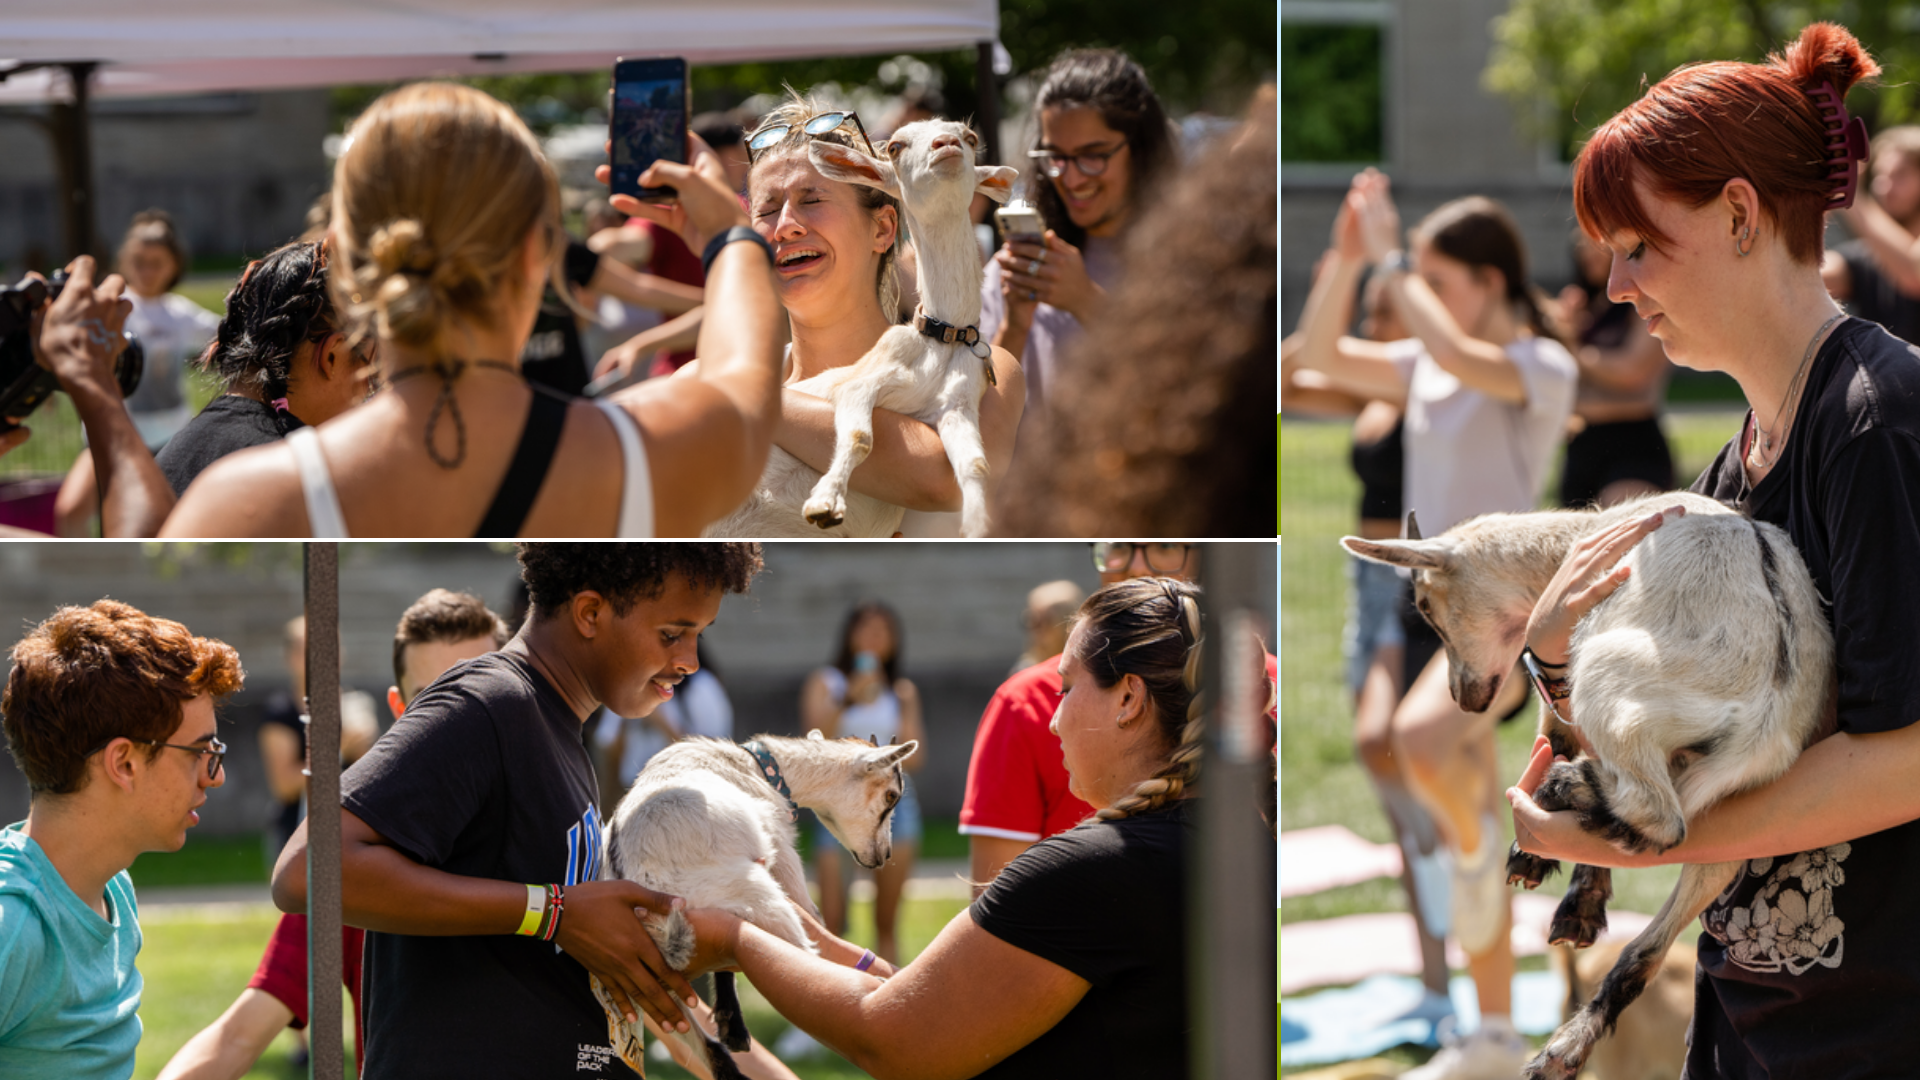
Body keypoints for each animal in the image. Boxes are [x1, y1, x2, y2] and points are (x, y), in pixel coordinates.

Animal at [595, 726, 917, 1068]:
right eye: (891, 796)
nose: (884, 856)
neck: (754, 765)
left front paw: (731, 1025)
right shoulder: (781, 852)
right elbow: (814, 916)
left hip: (642, 983)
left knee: (708, 1050)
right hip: (760, 896)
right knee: (805, 958)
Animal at [706, 119, 1021, 534]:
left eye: (969, 137)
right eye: (895, 147)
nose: (947, 144)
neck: (941, 340)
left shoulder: (956, 408)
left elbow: (976, 465)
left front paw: (976, 526)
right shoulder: (862, 382)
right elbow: (859, 436)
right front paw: (824, 504)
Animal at [1344, 491, 1835, 1076]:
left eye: (1423, 605)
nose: (1464, 697)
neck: (1570, 545)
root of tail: (1767, 713)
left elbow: (1555, 731)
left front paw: (1534, 856)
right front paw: (1581, 906)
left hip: (1610, 679)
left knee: (1657, 816)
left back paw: (1560, 789)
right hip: (1746, 801)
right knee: (1656, 921)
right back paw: (1564, 1048)